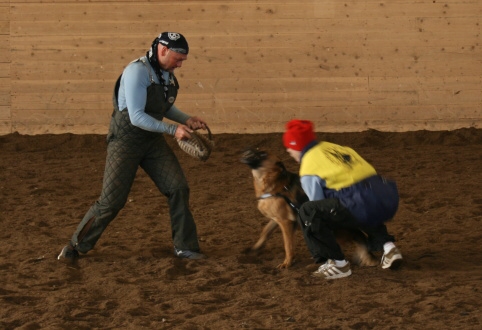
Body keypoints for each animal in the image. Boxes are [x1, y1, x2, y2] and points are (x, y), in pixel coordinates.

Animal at [241, 148, 380, 270]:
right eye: (257, 150)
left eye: (263, 154)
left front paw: (287, 263)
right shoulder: (276, 220)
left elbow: (288, 245)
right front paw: (254, 249)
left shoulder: (285, 223)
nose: (248, 150)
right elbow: (265, 232)